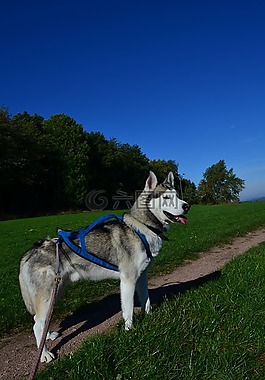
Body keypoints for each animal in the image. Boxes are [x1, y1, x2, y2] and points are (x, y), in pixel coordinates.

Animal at [19, 172, 188, 362]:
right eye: (166, 197)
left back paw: (47, 337)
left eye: (177, 195)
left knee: (40, 320)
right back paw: (44, 354)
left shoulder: (142, 278)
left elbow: (147, 302)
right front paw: (130, 332)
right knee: (37, 324)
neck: (142, 228)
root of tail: (32, 249)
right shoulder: (128, 281)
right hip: (48, 296)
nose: (187, 206)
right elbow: (128, 311)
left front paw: (150, 317)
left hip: (56, 291)